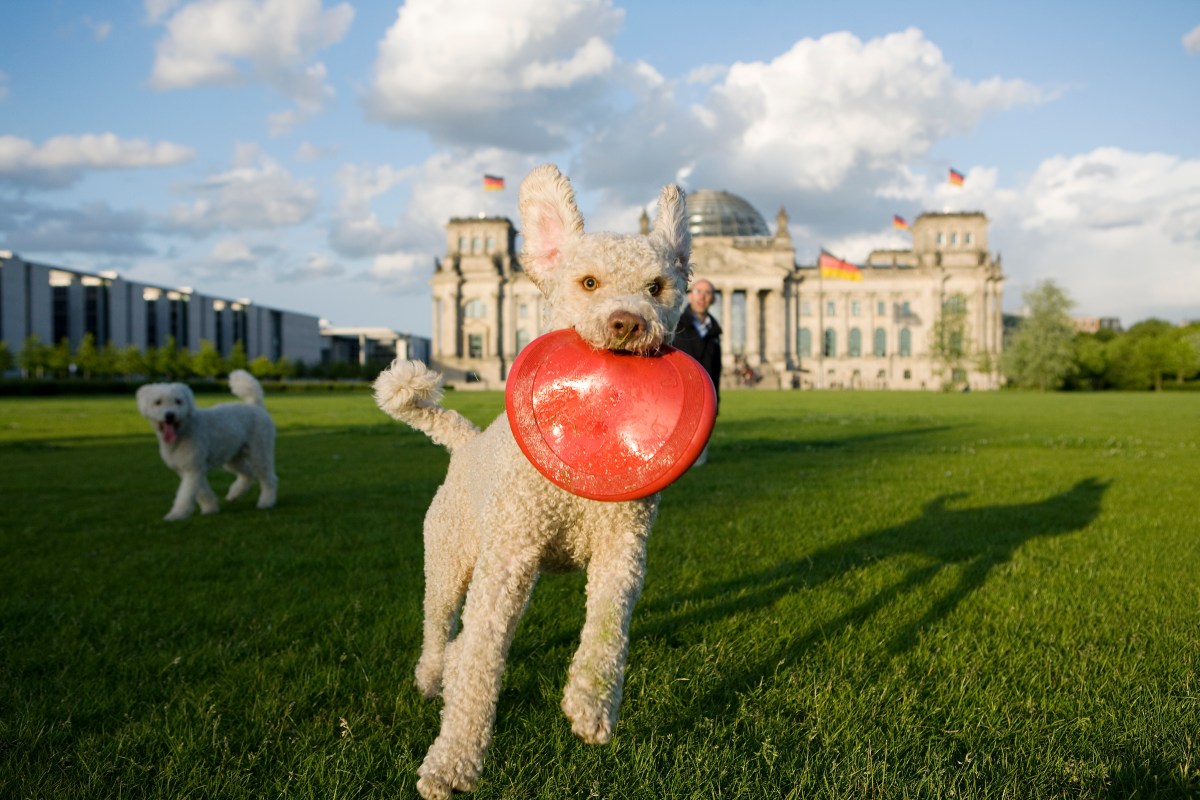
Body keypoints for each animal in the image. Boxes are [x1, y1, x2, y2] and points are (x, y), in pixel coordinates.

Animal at [136, 367, 278, 520]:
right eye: (157, 402)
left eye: (178, 401)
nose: (170, 415)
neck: (185, 430)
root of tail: (255, 405)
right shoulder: (190, 468)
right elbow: (201, 491)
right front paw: (210, 508)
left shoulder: (192, 468)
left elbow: (185, 494)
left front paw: (177, 514)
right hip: (232, 457)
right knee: (248, 474)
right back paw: (234, 494)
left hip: (259, 452)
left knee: (269, 479)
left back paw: (266, 501)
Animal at [374, 164, 696, 800]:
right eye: (589, 282)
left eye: (656, 287)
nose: (627, 323)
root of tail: (465, 442)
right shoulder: (506, 565)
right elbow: (480, 662)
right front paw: (451, 763)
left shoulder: (621, 554)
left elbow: (606, 631)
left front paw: (590, 707)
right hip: (450, 560)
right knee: (439, 628)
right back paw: (432, 676)